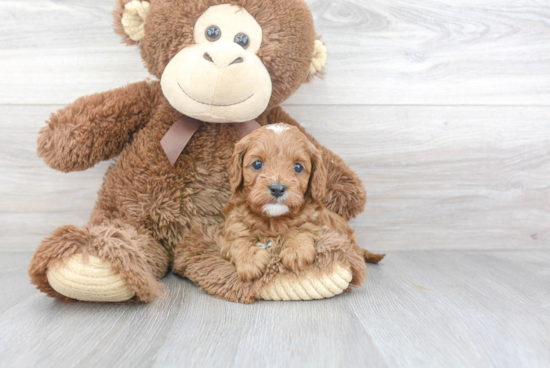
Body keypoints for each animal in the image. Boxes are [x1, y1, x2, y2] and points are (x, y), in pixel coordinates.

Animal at [220, 123, 384, 282]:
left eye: (298, 167)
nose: (277, 189)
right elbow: (237, 242)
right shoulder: (230, 233)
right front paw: (250, 260)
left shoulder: (317, 225)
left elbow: (301, 229)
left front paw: (296, 249)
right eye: (257, 164)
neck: (272, 221)